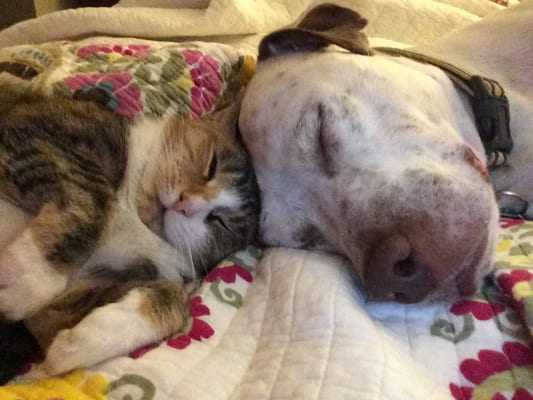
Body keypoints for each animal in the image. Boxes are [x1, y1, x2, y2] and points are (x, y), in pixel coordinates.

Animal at [0, 94, 260, 378]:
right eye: (212, 165)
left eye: (221, 222)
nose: (186, 204)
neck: (134, 211)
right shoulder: (39, 132)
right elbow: (93, 196)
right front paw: (28, 279)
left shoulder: (69, 302)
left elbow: (177, 301)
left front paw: (75, 345)